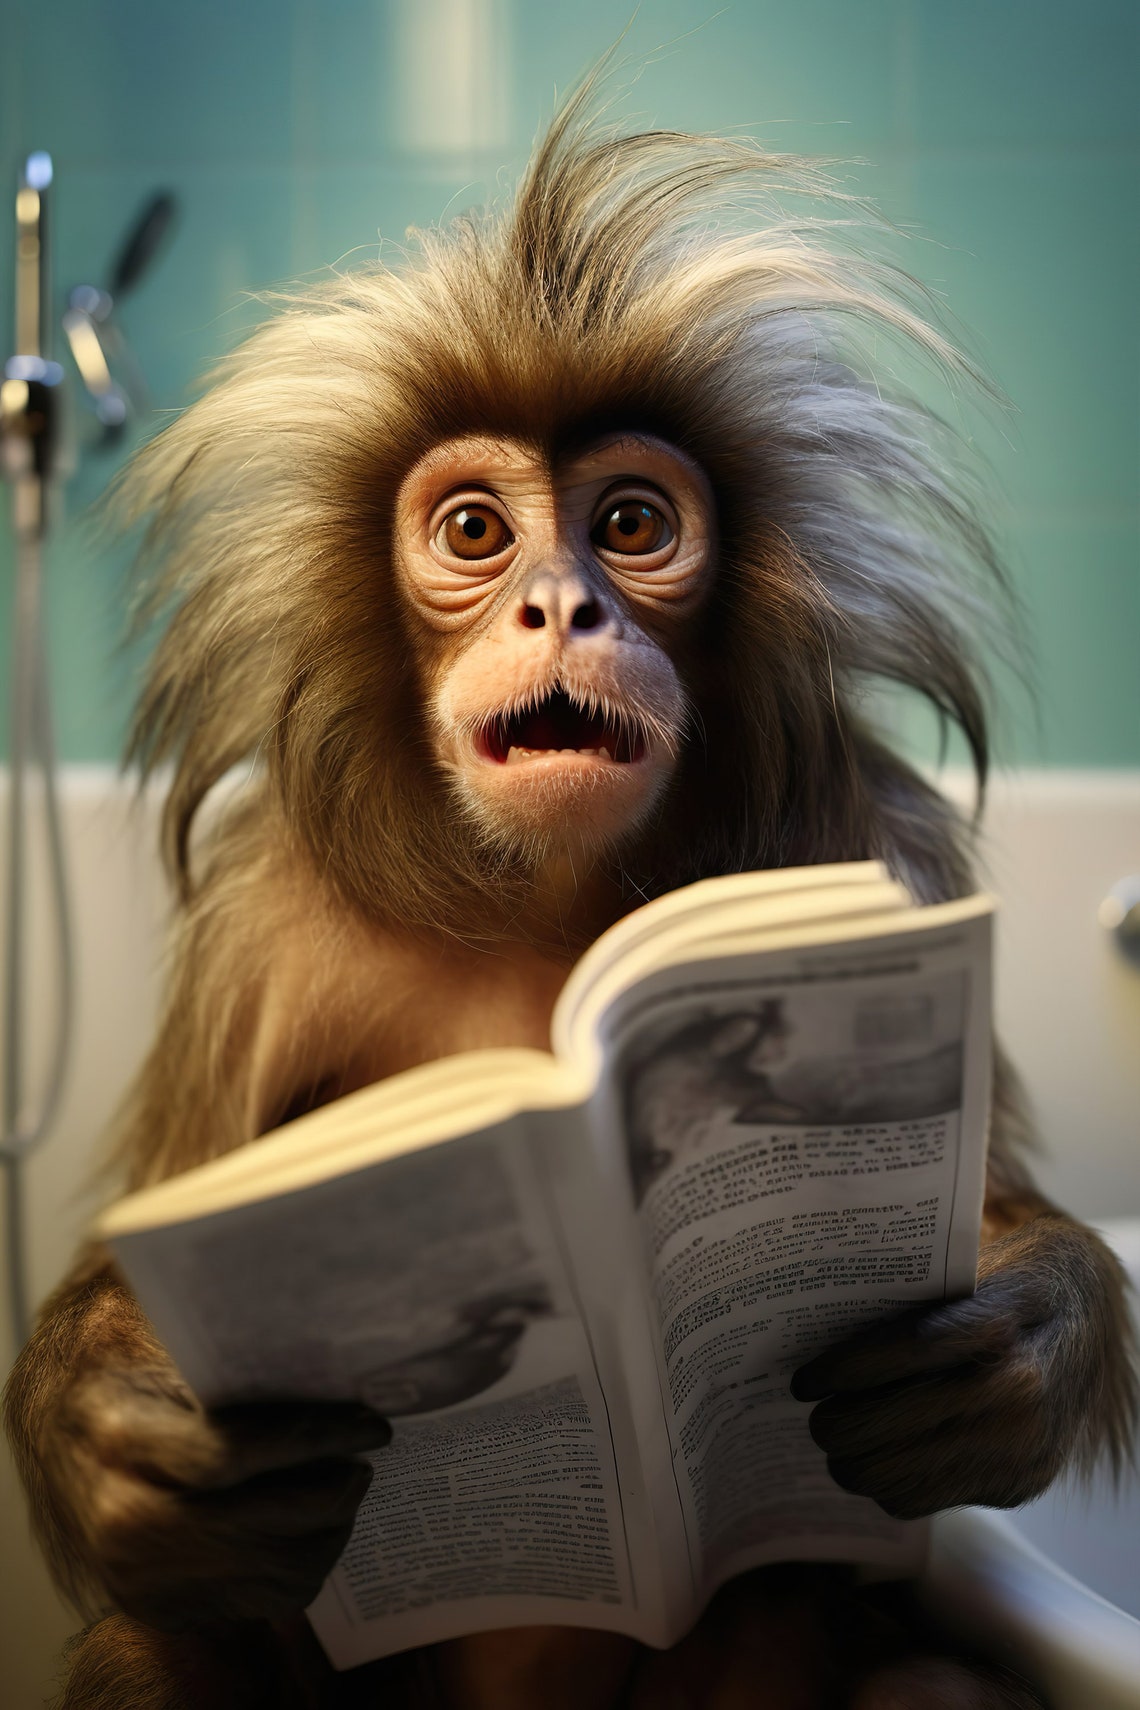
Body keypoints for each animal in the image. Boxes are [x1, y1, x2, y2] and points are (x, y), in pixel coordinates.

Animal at [4, 83, 1135, 1710]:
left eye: (632, 526)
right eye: (477, 532)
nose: (563, 606)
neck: (549, 904)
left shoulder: (887, 844)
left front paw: (1008, 1355)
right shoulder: (259, 924)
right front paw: (122, 1433)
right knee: (165, 1642)